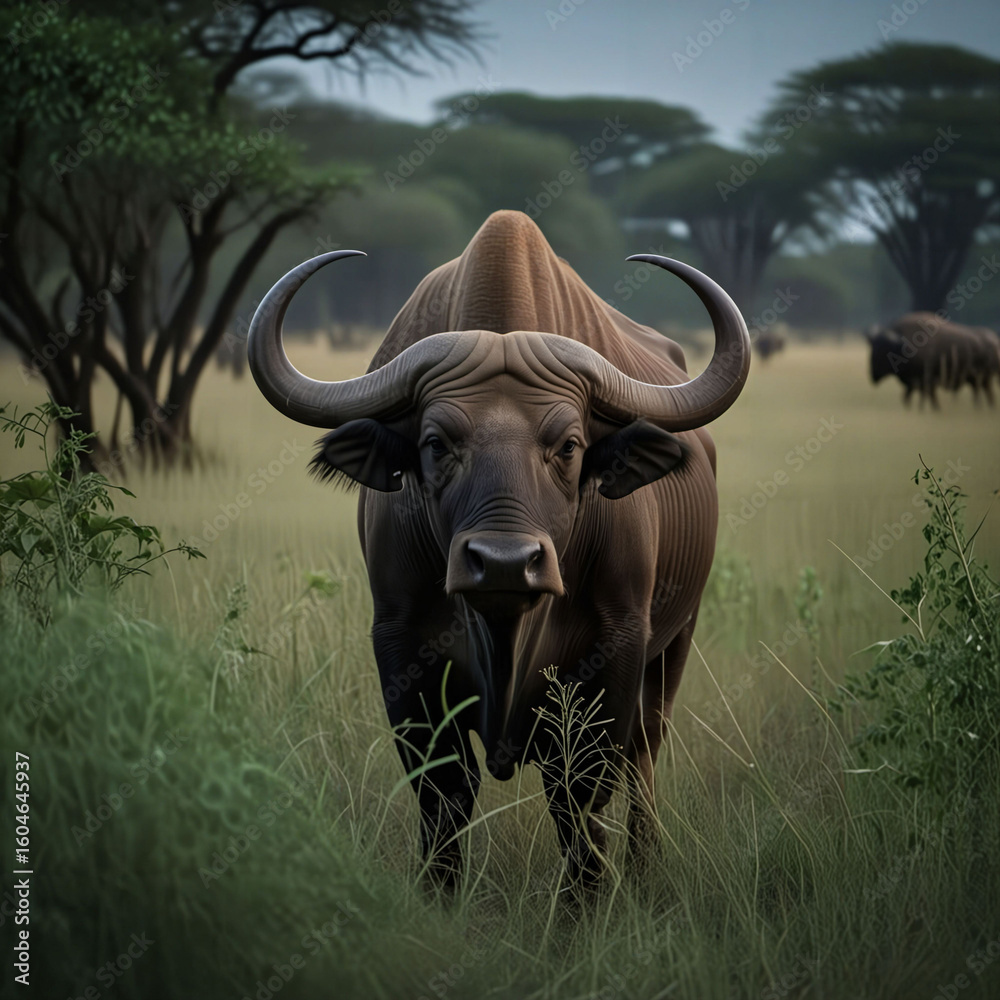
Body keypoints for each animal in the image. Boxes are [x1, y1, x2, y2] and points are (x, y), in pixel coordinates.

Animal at [247, 211, 750, 888]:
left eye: (569, 445)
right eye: (435, 443)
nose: (505, 564)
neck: (505, 631)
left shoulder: (618, 647)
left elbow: (580, 797)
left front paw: (586, 900)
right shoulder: (402, 649)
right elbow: (444, 796)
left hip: (675, 644)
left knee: (644, 752)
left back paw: (646, 867)